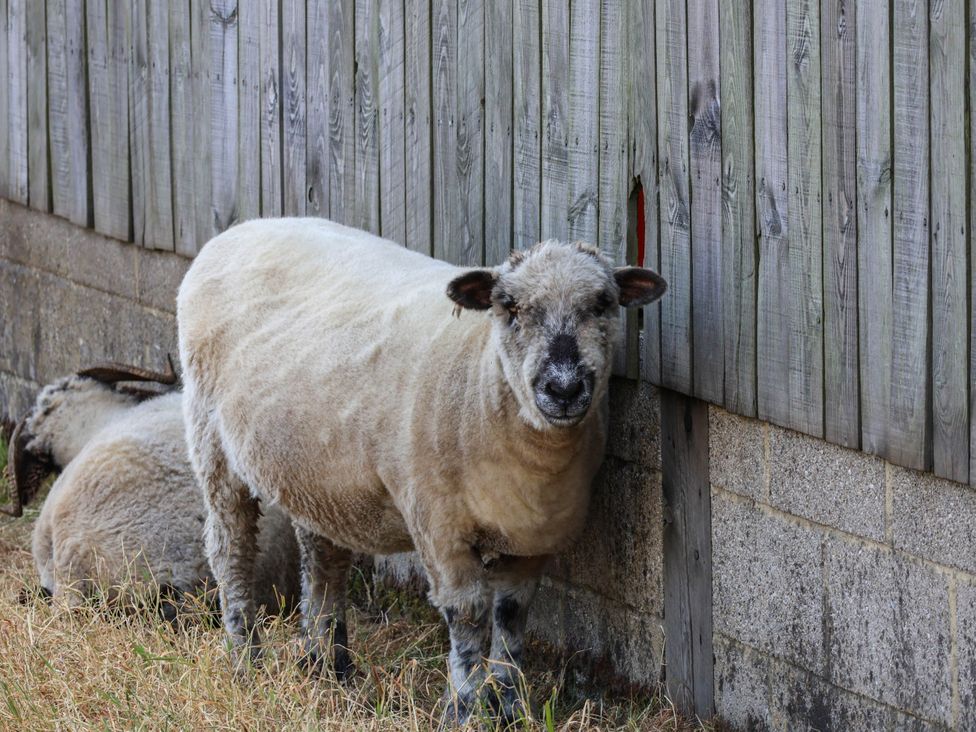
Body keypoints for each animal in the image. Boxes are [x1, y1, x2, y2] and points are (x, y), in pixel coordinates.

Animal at [177, 218, 667, 724]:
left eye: (603, 303)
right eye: (509, 307)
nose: (564, 389)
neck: (483, 379)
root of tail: (241, 228)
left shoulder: (532, 537)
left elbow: (512, 618)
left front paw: (511, 705)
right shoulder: (438, 525)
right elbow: (468, 615)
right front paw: (467, 707)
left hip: (318, 473)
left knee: (323, 558)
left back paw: (327, 665)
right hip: (212, 444)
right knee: (231, 551)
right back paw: (245, 659)